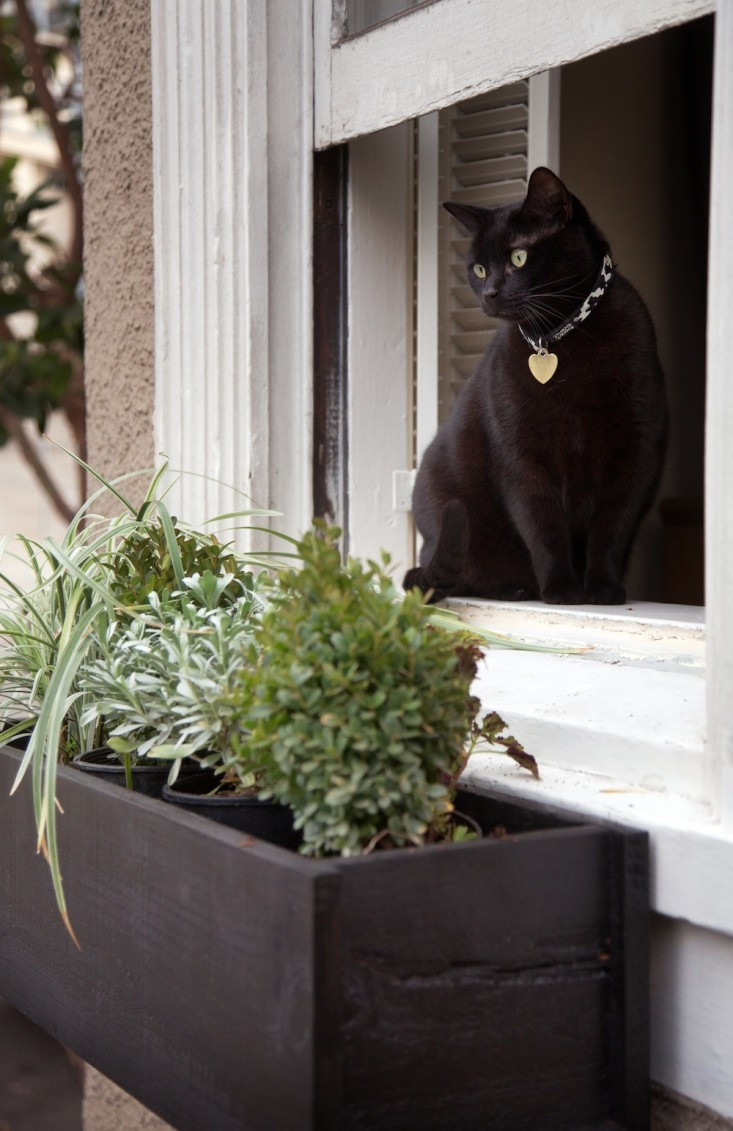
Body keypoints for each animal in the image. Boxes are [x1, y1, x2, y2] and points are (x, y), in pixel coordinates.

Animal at [402, 165, 665, 606]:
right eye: (478, 269)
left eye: (518, 257)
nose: (490, 293)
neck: (562, 336)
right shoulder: (522, 456)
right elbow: (543, 527)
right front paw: (561, 591)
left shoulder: (636, 452)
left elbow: (612, 527)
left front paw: (603, 589)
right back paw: (518, 587)